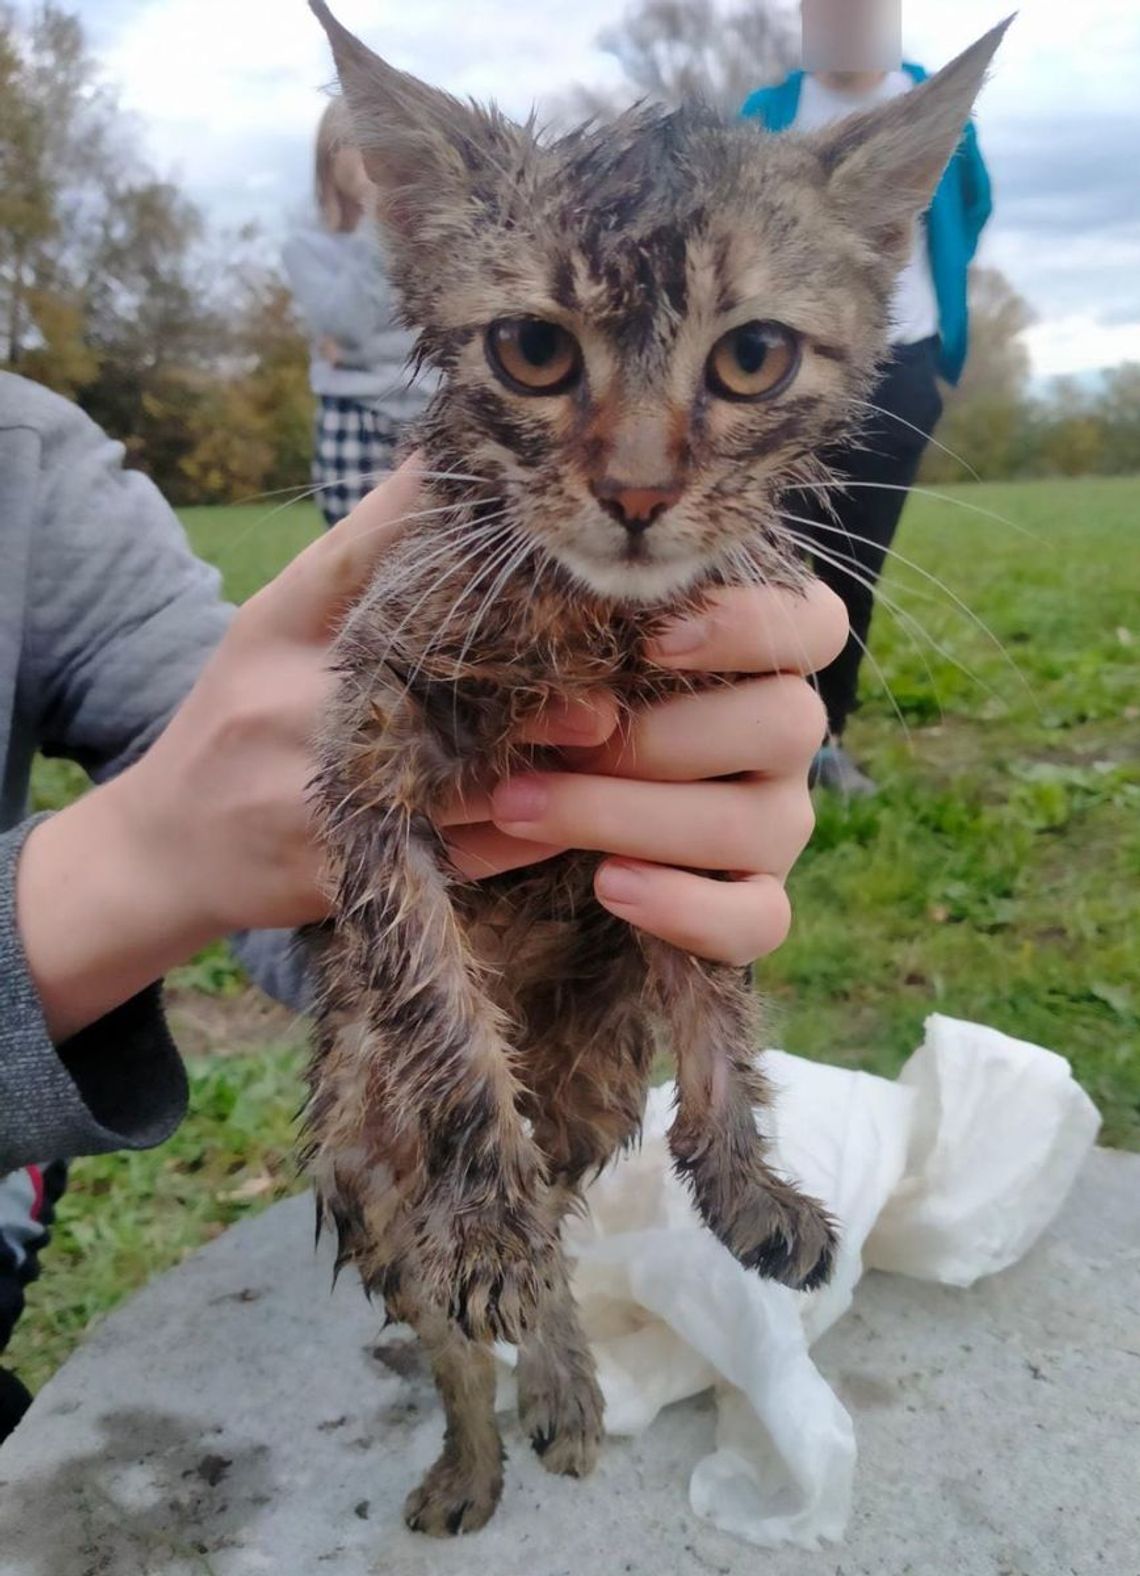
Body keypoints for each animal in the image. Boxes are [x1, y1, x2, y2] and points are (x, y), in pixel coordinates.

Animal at [302, 6, 1009, 1538]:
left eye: (751, 359)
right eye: (532, 350)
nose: (634, 492)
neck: (596, 624)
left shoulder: (708, 791)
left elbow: (717, 1010)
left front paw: (742, 1181)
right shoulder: (367, 746)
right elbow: (442, 1014)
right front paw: (487, 1214)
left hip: (585, 1082)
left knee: (565, 1232)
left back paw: (564, 1383)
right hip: (356, 1144)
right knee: (444, 1309)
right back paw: (478, 1428)